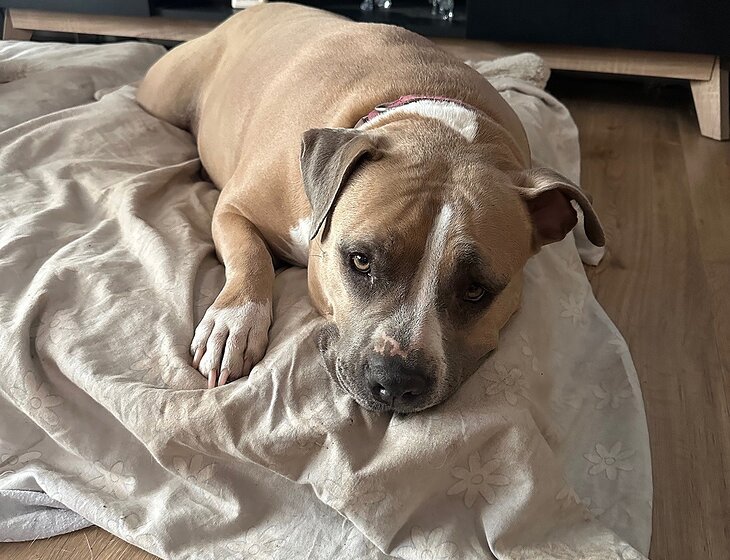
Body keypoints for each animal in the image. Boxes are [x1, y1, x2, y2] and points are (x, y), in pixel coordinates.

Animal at [137, 2, 604, 413]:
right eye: (360, 261)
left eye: (476, 290)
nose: (397, 380)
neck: (438, 127)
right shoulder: (233, 208)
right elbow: (250, 255)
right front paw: (233, 323)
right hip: (162, 95)